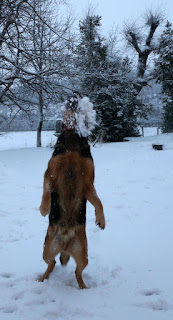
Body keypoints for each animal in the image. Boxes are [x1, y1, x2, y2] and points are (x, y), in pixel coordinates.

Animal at [38, 129, 105, 288]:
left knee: (76, 272)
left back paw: (83, 288)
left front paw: (101, 220)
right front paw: (44, 208)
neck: (73, 142)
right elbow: (46, 191)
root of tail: (65, 245)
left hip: (83, 255)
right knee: (52, 263)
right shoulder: (50, 174)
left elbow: (98, 201)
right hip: (47, 250)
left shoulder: (87, 183)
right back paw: (43, 277)